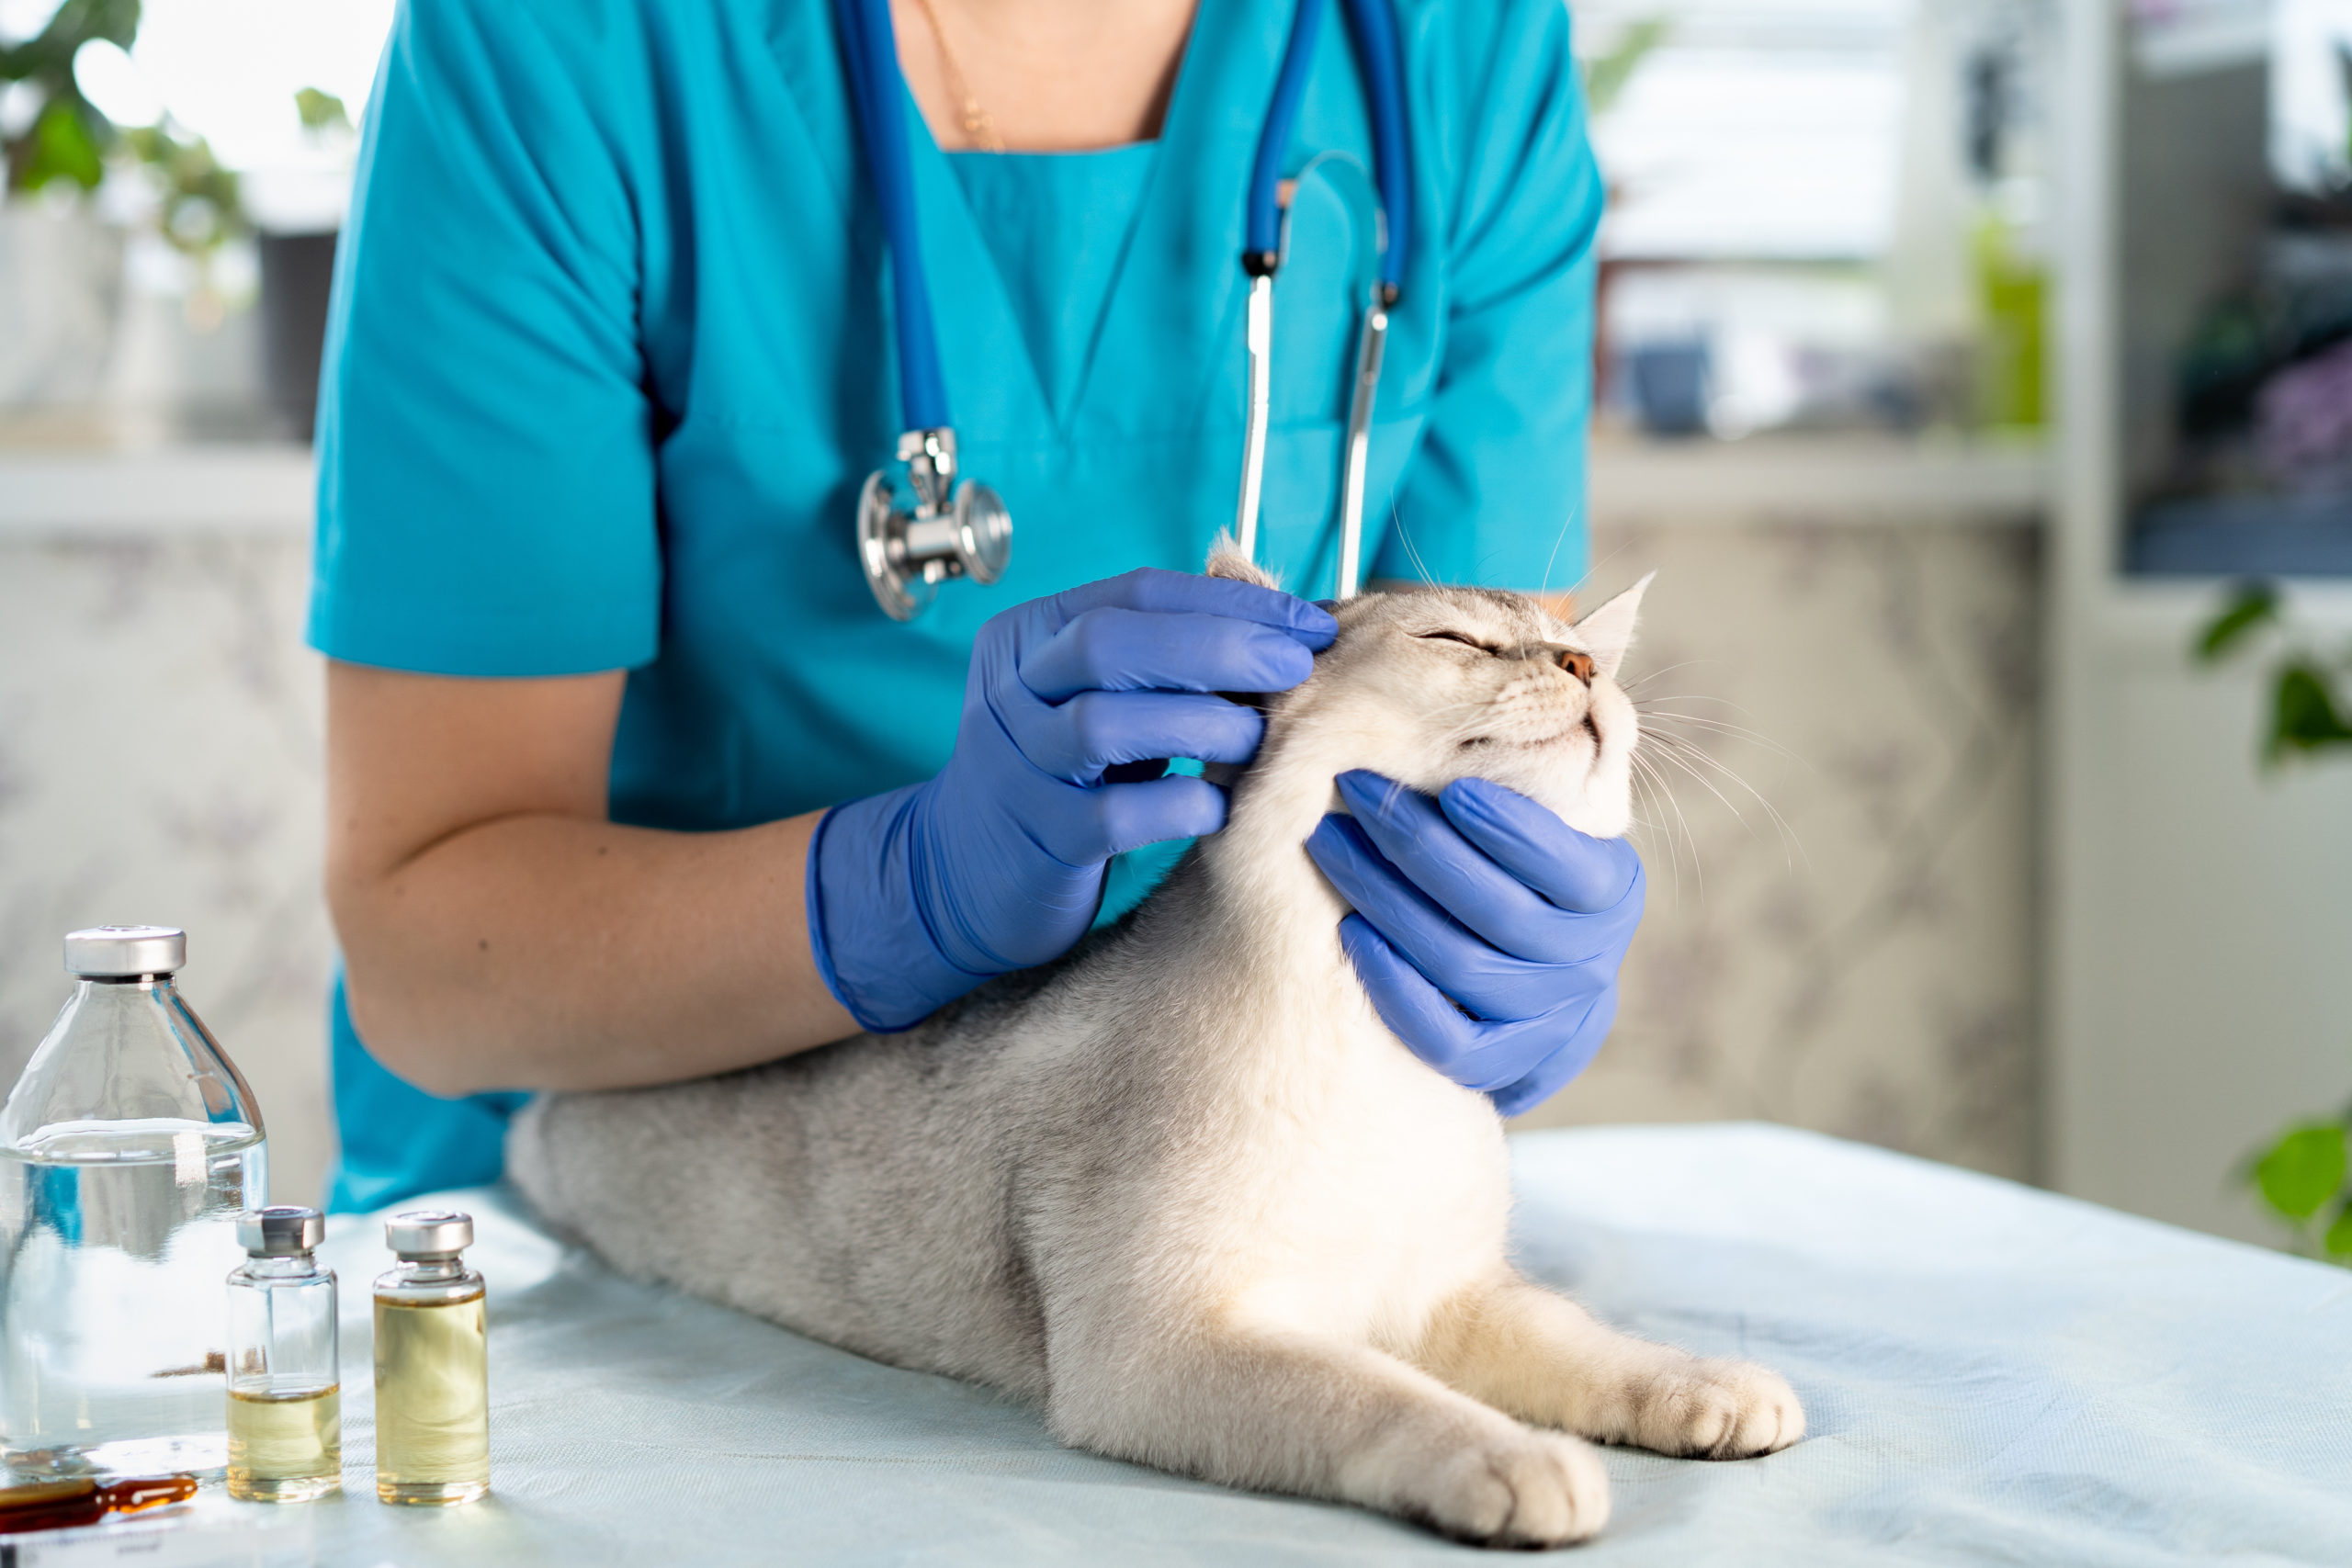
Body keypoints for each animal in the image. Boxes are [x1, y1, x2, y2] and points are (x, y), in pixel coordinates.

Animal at [514, 549, 1796, 1541]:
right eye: (1458, 638)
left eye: (1589, 657)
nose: (1585, 671)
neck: (1374, 1047)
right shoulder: (1158, 1346)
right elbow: (1370, 1393)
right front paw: (1505, 1456)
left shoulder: (1449, 1289)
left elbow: (1577, 1338)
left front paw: (1697, 1382)